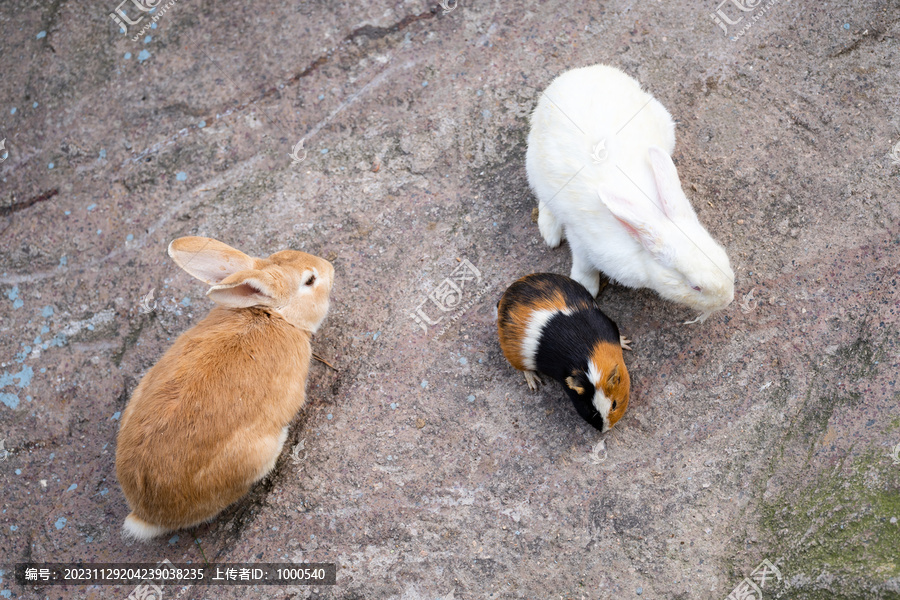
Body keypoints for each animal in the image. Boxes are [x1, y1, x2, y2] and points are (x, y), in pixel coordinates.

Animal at [528, 65, 732, 324]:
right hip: (534, 167)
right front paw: (586, 286)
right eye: (695, 286)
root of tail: (580, 72)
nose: (729, 300)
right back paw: (550, 233)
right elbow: (585, 266)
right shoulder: (581, 240)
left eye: (724, 257)